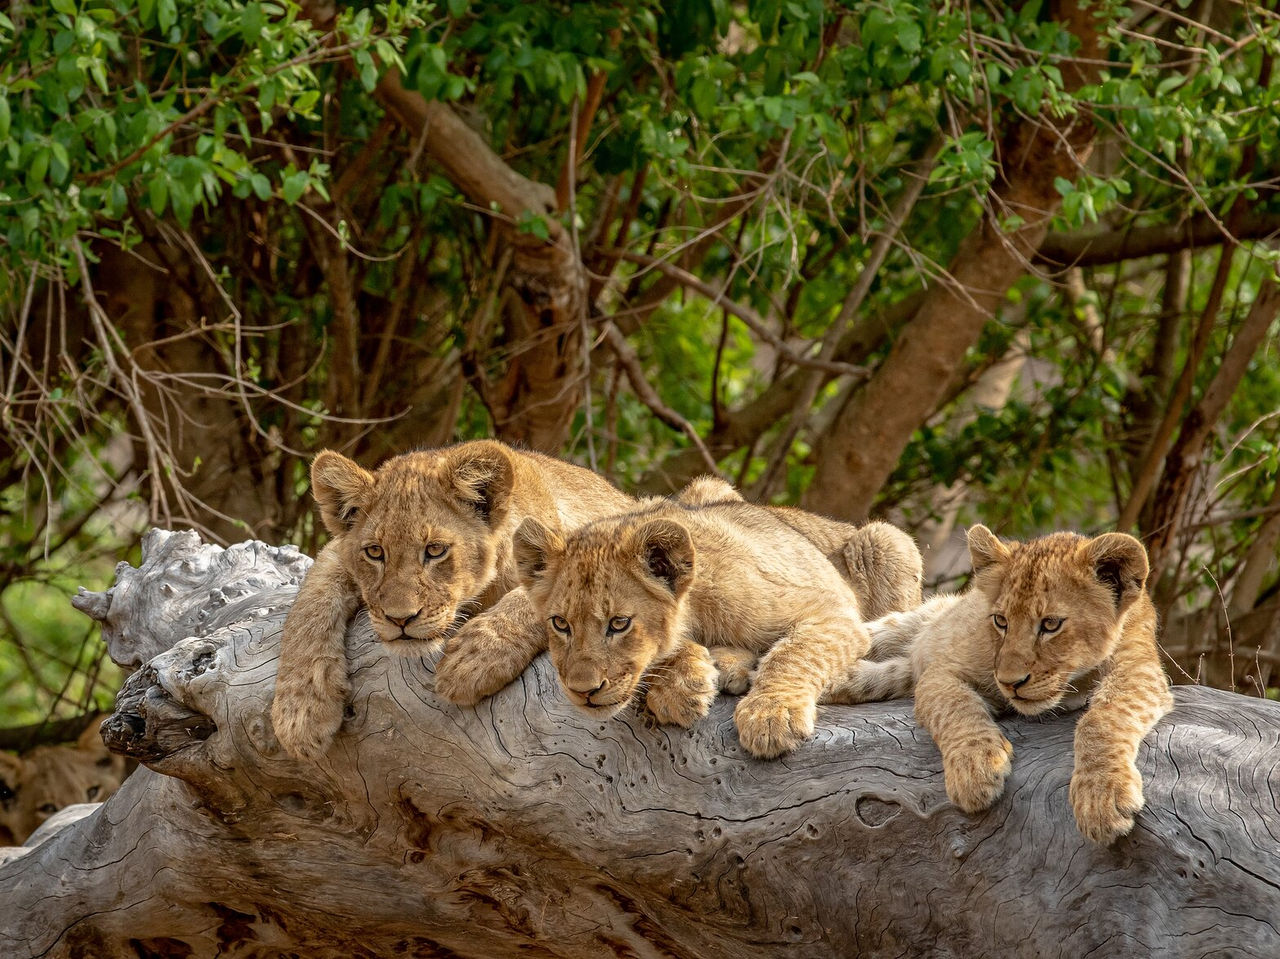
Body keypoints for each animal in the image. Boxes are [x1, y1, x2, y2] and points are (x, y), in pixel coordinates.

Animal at [271, 440, 635, 761]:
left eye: (435, 550)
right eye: (374, 552)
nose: (400, 619)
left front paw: (474, 658)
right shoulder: (335, 553)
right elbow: (310, 605)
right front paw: (300, 712)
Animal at [512, 496, 878, 759]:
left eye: (619, 623)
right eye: (561, 623)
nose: (583, 691)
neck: (696, 610)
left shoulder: (833, 608)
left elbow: (795, 653)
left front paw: (771, 715)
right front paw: (681, 687)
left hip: (880, 541)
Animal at [828, 524, 1173, 843]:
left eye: (1051, 624)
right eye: (1001, 621)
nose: (1011, 683)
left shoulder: (1140, 671)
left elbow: (1102, 720)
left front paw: (1101, 795)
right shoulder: (942, 671)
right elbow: (955, 706)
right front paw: (975, 768)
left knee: (894, 673)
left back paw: (843, 683)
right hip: (905, 626)